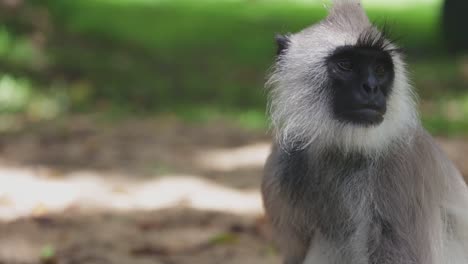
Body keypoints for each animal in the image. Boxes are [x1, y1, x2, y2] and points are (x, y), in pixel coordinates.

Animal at [262, 1, 468, 262]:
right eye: (346, 65)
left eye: (379, 70)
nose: (371, 87)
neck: (341, 150)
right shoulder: (282, 162)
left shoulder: (402, 165)